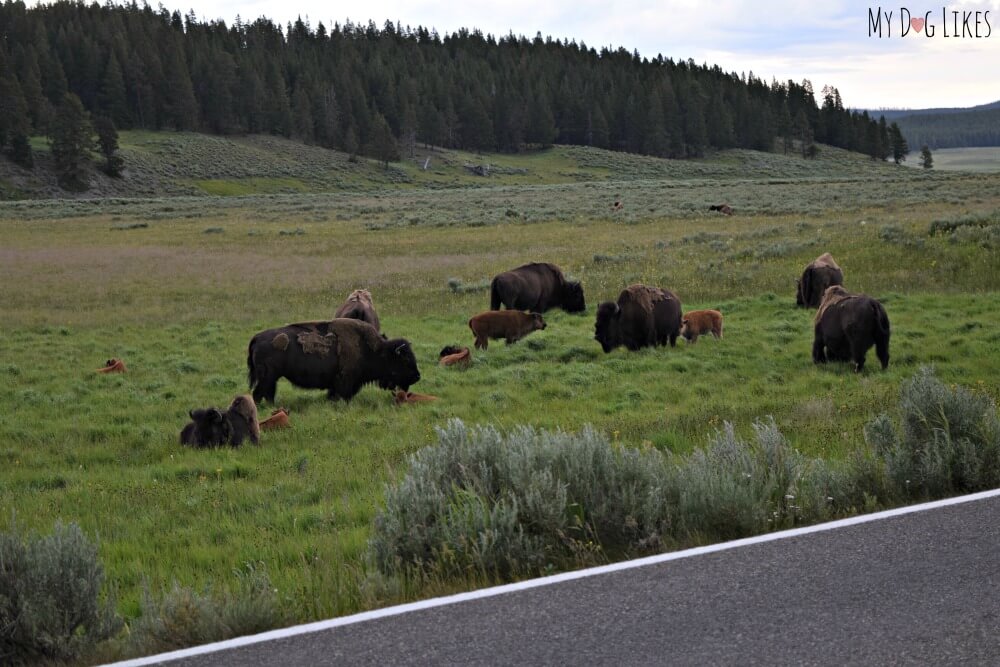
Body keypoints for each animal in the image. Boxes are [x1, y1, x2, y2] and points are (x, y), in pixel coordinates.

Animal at [252, 318, 424, 402]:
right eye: (405, 359)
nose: (417, 376)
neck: (375, 350)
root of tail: (256, 338)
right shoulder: (345, 380)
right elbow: (342, 394)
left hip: (272, 378)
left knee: (268, 393)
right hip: (267, 377)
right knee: (258, 393)